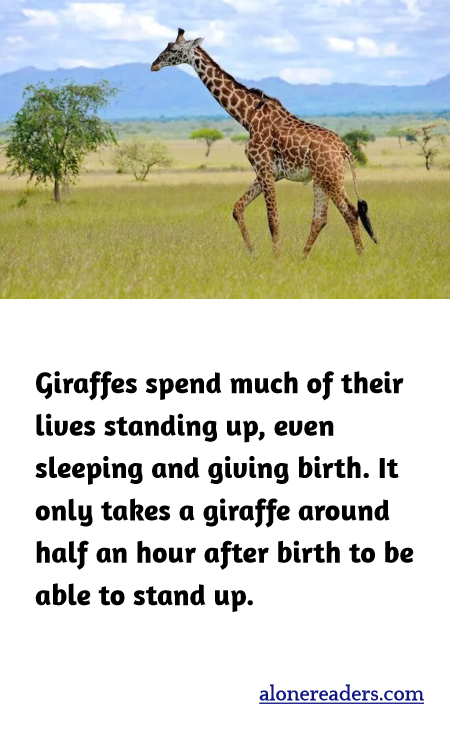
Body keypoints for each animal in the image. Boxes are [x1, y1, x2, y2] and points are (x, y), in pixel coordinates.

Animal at [151, 29, 377, 258]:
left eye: (173, 49)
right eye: (167, 45)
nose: (154, 64)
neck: (248, 117)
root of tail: (344, 148)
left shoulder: (264, 167)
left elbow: (273, 220)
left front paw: (276, 258)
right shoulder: (268, 172)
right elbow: (238, 208)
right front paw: (253, 252)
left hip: (330, 177)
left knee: (350, 212)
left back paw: (359, 256)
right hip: (321, 179)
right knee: (320, 218)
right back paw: (302, 258)